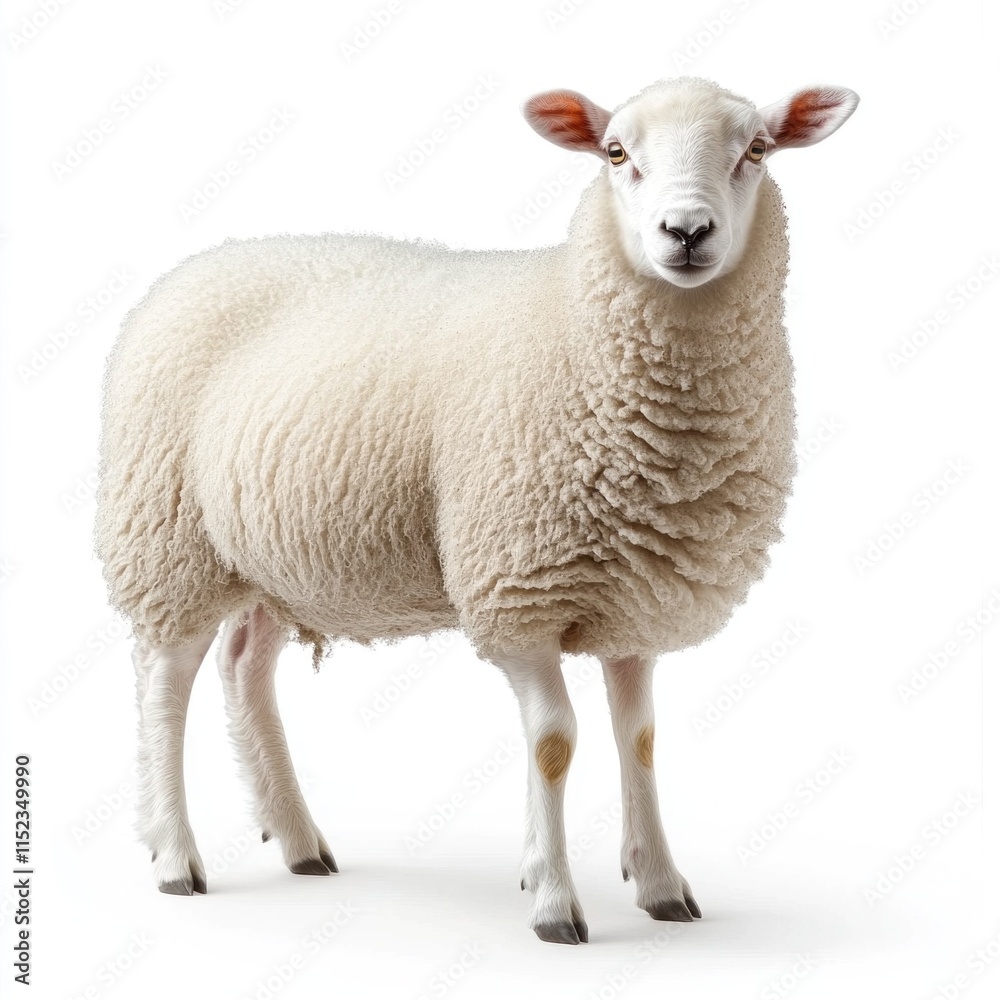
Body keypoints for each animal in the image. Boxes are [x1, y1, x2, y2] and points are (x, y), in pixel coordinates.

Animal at [95, 75, 858, 945]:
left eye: (755, 151)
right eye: (615, 153)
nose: (687, 231)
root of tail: (196, 266)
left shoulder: (635, 601)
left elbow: (640, 740)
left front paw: (662, 884)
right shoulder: (516, 592)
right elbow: (556, 741)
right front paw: (554, 900)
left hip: (266, 552)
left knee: (243, 664)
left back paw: (297, 839)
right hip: (167, 536)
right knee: (166, 681)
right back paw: (174, 857)